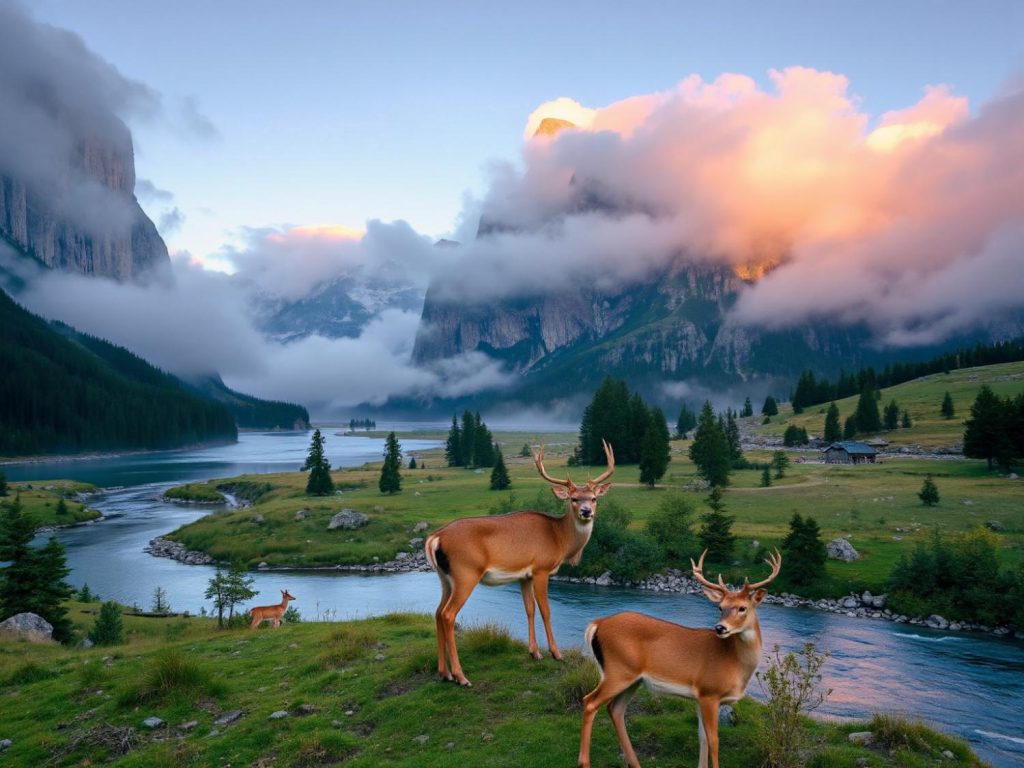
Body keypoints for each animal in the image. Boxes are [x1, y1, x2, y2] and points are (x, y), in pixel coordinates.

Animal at [425, 440, 615, 687]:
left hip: (444, 577)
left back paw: (444, 672)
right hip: (465, 572)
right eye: (573, 498)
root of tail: (435, 538)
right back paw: (460, 676)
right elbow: (546, 610)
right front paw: (556, 653)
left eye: (593, 498)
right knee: (448, 615)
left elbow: (529, 609)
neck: (559, 539)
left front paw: (534, 652)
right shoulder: (542, 568)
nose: (586, 511)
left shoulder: (525, 575)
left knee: (437, 612)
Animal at [578, 549, 783, 768]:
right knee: (590, 702)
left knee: (615, 709)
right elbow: (714, 740)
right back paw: (585, 762)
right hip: (618, 670)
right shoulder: (710, 691)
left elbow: (702, 738)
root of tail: (597, 624)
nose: (720, 628)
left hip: (632, 678)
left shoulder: (701, 696)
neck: (735, 664)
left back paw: (635, 763)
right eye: (720, 607)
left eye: (743, 607)